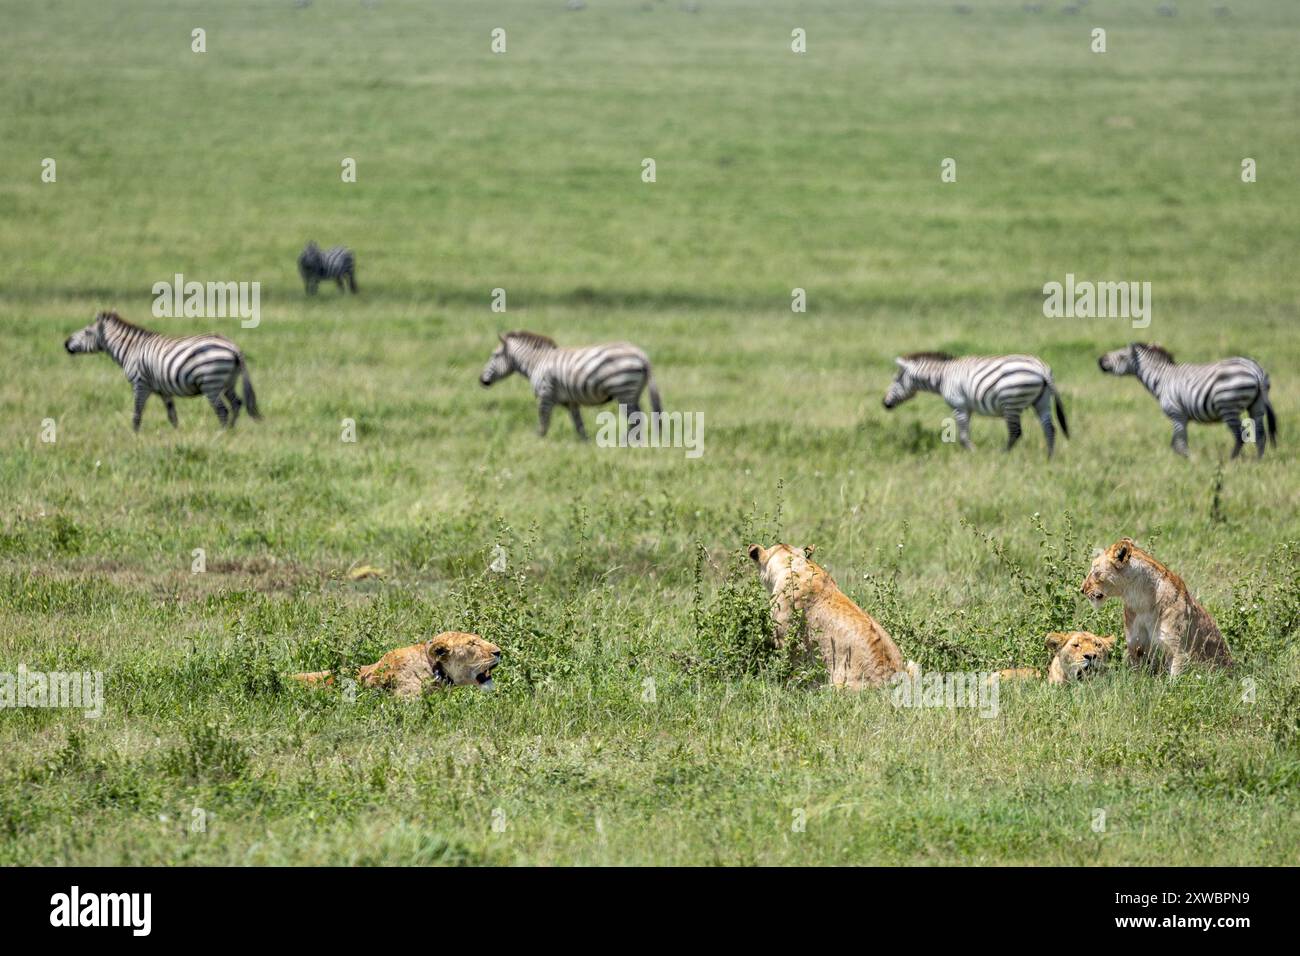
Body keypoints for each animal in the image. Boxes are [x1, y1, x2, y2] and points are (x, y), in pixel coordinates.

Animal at [64, 311, 261, 431]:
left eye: (87, 332)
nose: (66, 343)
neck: (130, 349)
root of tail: (233, 347)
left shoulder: (140, 384)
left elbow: (137, 412)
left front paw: (134, 437)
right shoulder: (164, 390)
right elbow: (172, 415)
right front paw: (176, 434)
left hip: (211, 383)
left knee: (222, 410)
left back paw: (220, 434)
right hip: (228, 382)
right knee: (236, 403)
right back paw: (230, 432)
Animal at [479, 331, 662, 440]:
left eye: (494, 355)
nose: (481, 380)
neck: (537, 362)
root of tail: (640, 354)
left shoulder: (545, 395)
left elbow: (543, 422)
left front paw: (539, 444)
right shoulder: (571, 401)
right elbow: (578, 424)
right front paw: (585, 444)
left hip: (623, 389)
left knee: (635, 419)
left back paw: (626, 443)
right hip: (633, 392)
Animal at [882, 352, 1070, 458]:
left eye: (896, 380)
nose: (884, 404)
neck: (942, 377)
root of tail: (1042, 369)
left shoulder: (959, 407)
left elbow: (963, 436)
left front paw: (974, 453)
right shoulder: (968, 408)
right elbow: (965, 433)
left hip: (1011, 402)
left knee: (1015, 432)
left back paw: (1003, 456)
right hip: (1042, 402)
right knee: (1049, 429)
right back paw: (1049, 458)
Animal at [1098, 343, 1276, 458]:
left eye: (1121, 356)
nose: (1100, 360)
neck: (1161, 379)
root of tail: (1256, 370)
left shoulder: (1177, 414)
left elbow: (1179, 444)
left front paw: (1190, 460)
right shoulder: (1181, 417)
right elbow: (1175, 443)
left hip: (1228, 406)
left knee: (1240, 435)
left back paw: (1231, 460)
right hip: (1257, 406)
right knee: (1260, 435)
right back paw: (1258, 461)